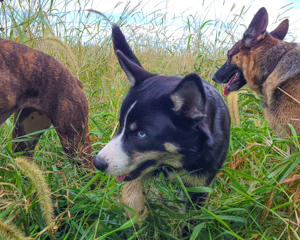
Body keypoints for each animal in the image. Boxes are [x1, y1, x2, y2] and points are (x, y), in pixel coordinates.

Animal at [94, 24, 230, 221]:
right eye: (120, 125)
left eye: (141, 134)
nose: (97, 163)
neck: (178, 160)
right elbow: (131, 191)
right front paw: (136, 213)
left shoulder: (199, 188)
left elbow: (189, 221)